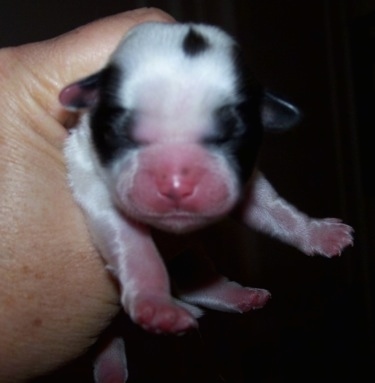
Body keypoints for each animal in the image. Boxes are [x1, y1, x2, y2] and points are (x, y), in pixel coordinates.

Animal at [59, 22, 356, 382]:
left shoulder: (241, 180)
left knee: (192, 282)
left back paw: (239, 295)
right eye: (123, 134)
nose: (176, 185)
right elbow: (133, 248)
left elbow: (273, 209)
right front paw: (156, 307)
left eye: (227, 137)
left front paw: (320, 233)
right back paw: (112, 369)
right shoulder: (97, 187)